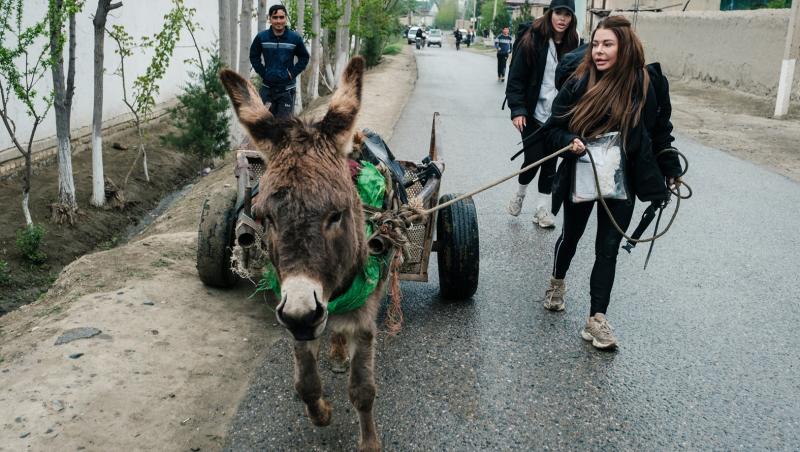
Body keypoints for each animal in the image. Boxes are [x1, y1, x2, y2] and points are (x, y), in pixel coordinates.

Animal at [220, 56, 387, 452]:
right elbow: (305, 384)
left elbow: (363, 390)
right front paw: (321, 413)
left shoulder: (363, 318)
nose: (303, 315)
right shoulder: (294, 315)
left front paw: (369, 442)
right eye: (264, 217)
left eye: (337, 214)